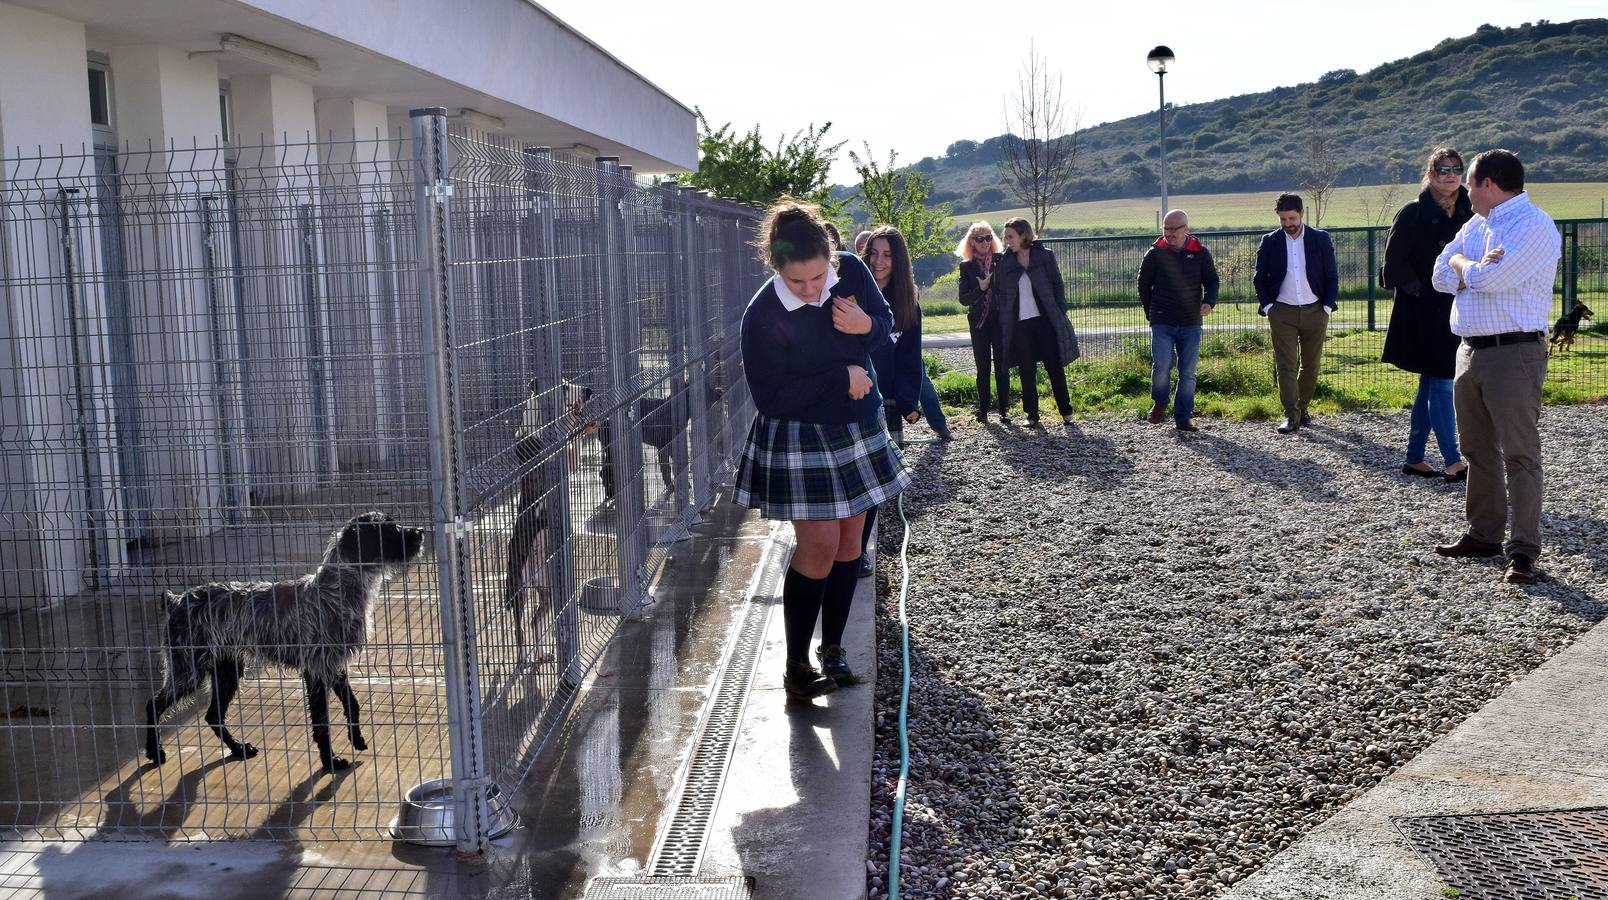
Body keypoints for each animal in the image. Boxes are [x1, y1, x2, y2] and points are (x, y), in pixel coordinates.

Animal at [145, 511, 427, 771]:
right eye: (387, 529)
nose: (420, 531)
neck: (335, 590)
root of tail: (177, 600)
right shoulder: (317, 670)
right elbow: (322, 722)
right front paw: (330, 761)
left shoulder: (335, 666)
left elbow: (353, 704)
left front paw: (356, 738)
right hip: (188, 670)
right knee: (153, 704)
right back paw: (154, 751)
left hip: (227, 671)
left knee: (213, 715)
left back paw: (238, 748)